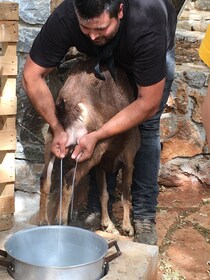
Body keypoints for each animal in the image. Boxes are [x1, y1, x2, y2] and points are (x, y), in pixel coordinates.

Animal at [38, 59, 140, 236]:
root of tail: (69, 104)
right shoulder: (128, 159)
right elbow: (126, 195)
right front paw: (127, 228)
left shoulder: (100, 166)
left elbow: (104, 194)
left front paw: (108, 225)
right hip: (88, 150)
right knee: (68, 178)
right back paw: (60, 221)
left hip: (53, 142)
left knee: (45, 178)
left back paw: (43, 222)